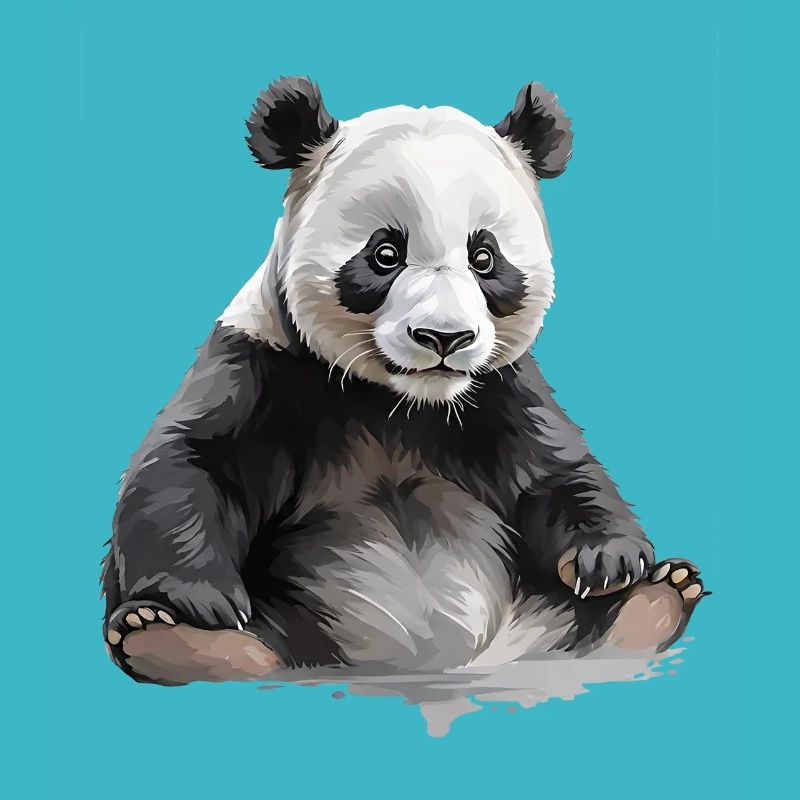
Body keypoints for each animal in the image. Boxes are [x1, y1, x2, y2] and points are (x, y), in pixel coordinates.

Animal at [101, 77, 707, 685]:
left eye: (484, 257)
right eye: (385, 253)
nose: (444, 338)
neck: (400, 402)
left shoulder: (499, 390)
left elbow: (554, 470)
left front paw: (608, 560)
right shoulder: (263, 363)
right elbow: (193, 461)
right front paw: (200, 600)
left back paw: (654, 600)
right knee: (257, 643)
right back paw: (179, 639)